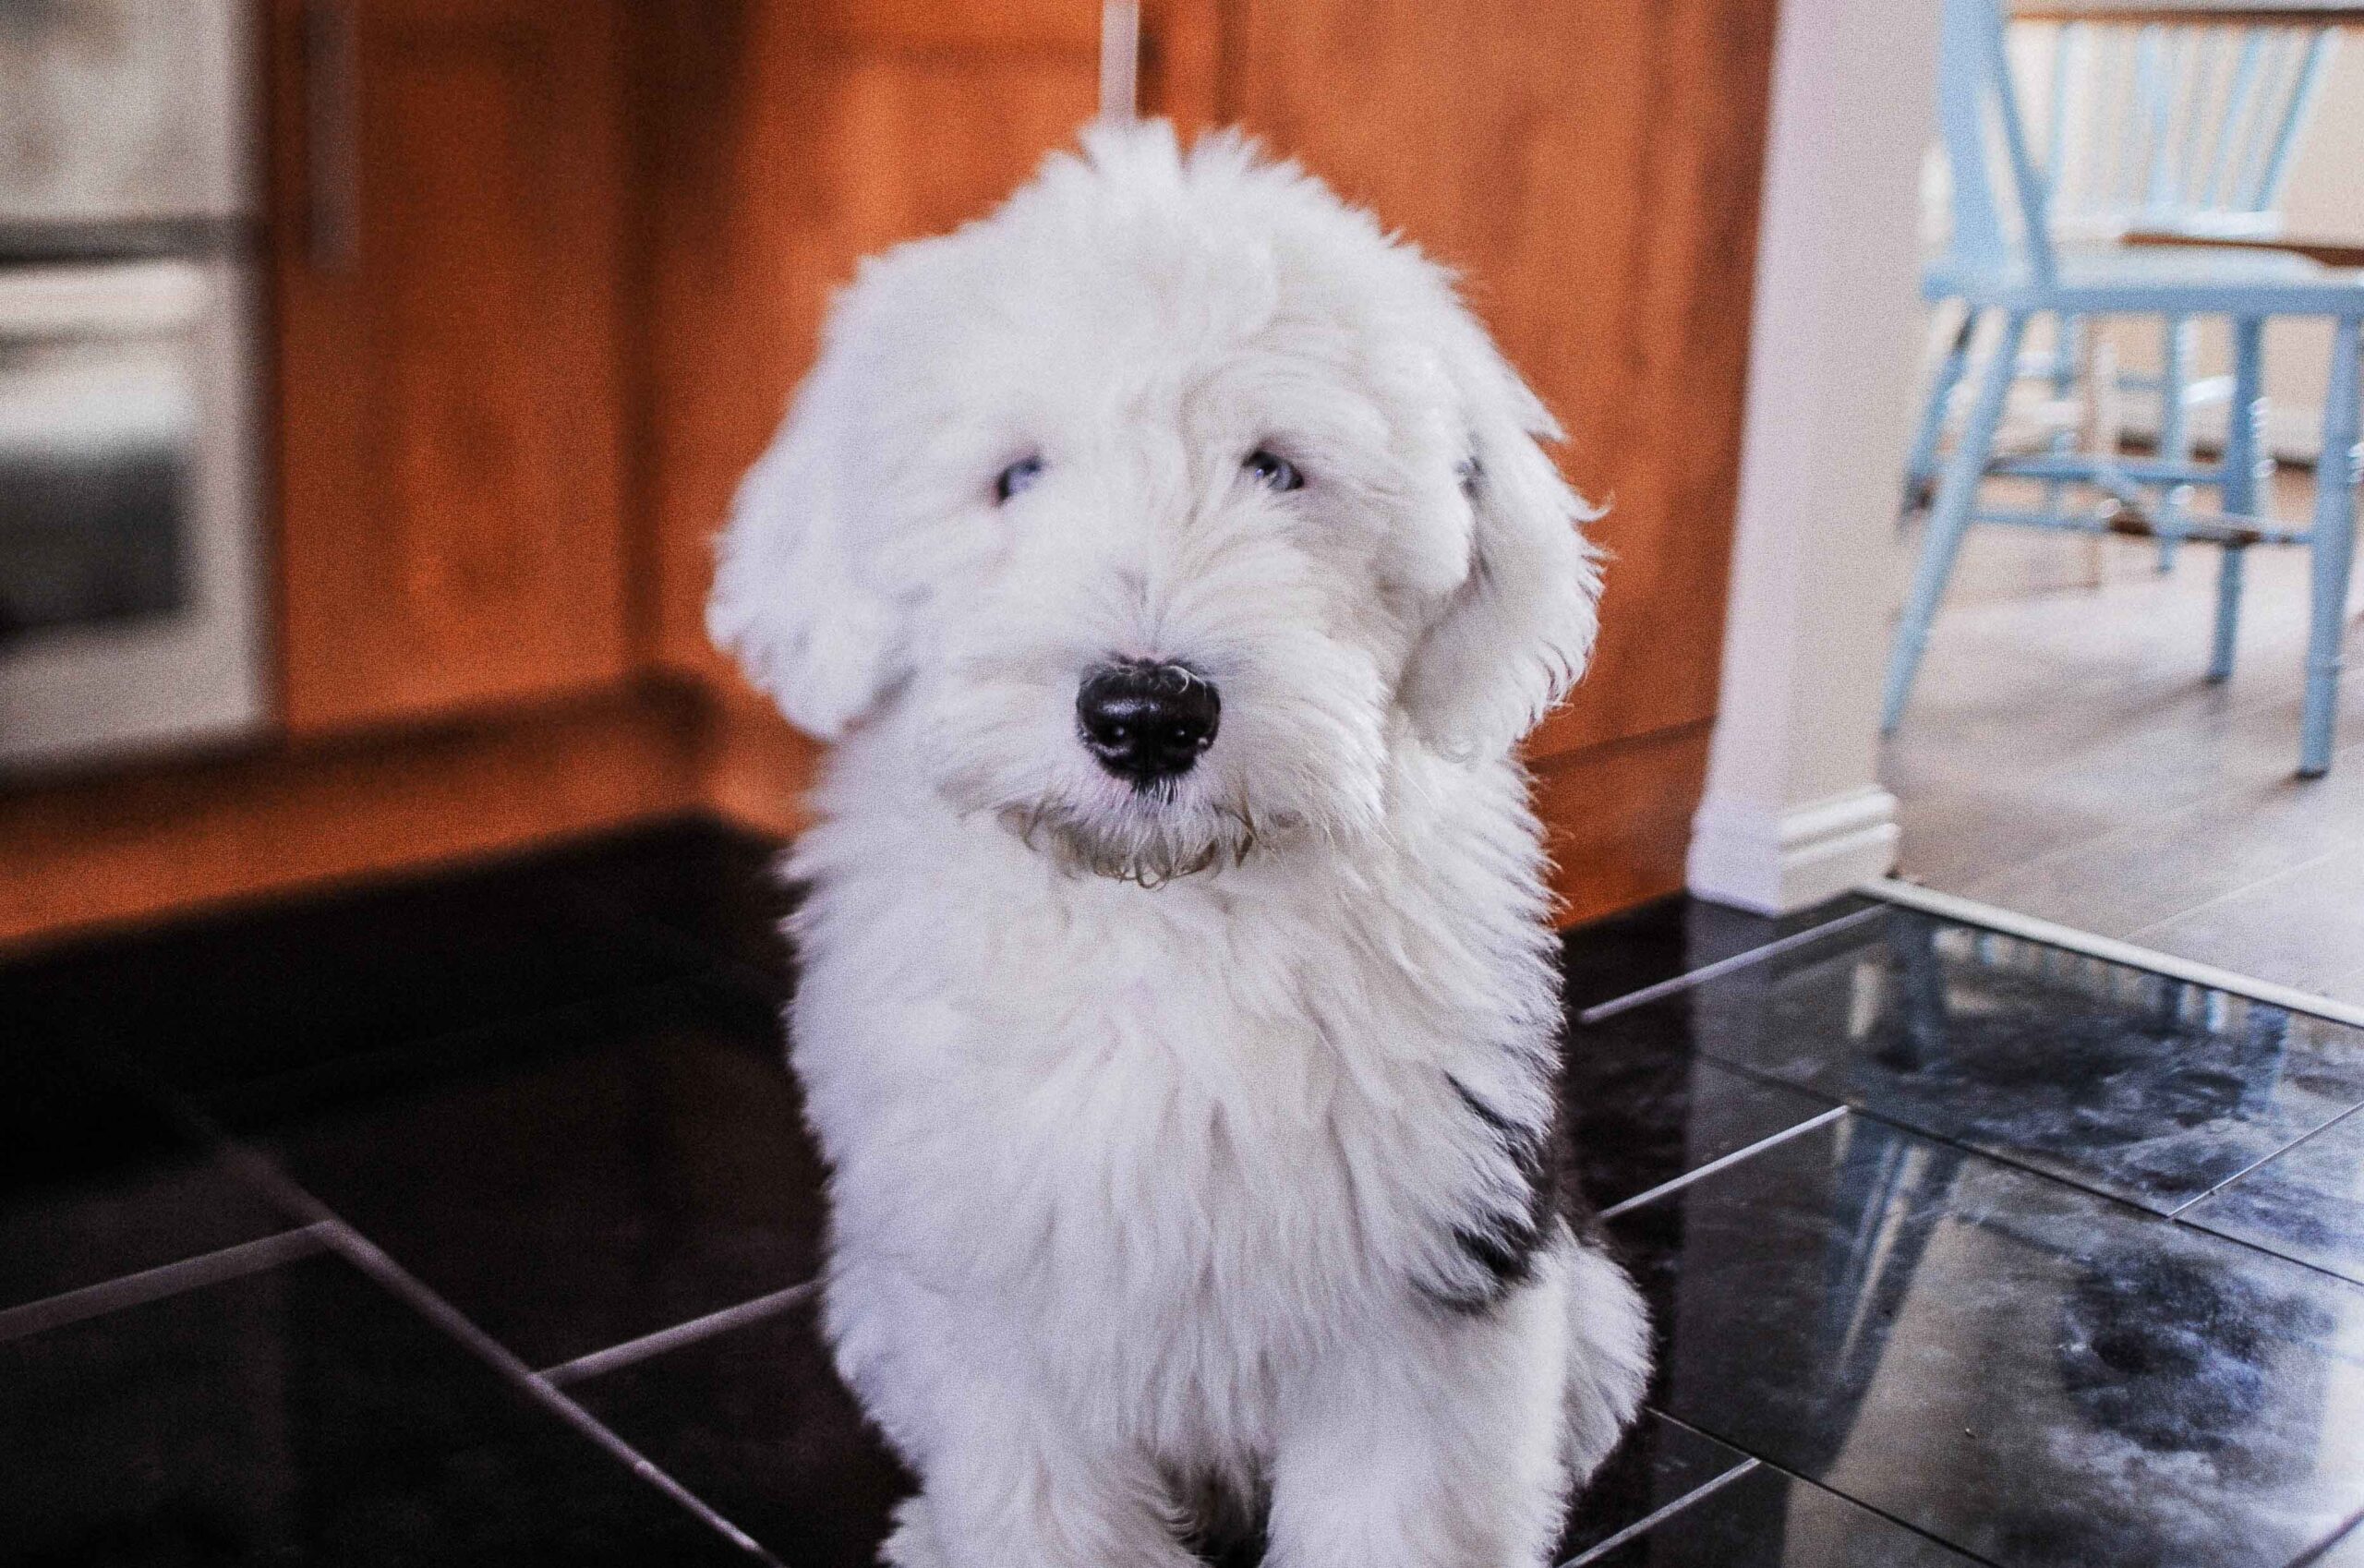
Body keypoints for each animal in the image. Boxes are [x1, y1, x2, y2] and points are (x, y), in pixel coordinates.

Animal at [709, 126, 1655, 1568]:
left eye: (1277, 466)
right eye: (1018, 475)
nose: (1147, 713)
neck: (1160, 915)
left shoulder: (1423, 1291)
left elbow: (1402, 1514)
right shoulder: (998, 1300)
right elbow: (1036, 1508)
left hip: (1592, 1309)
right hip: (876, 1287)